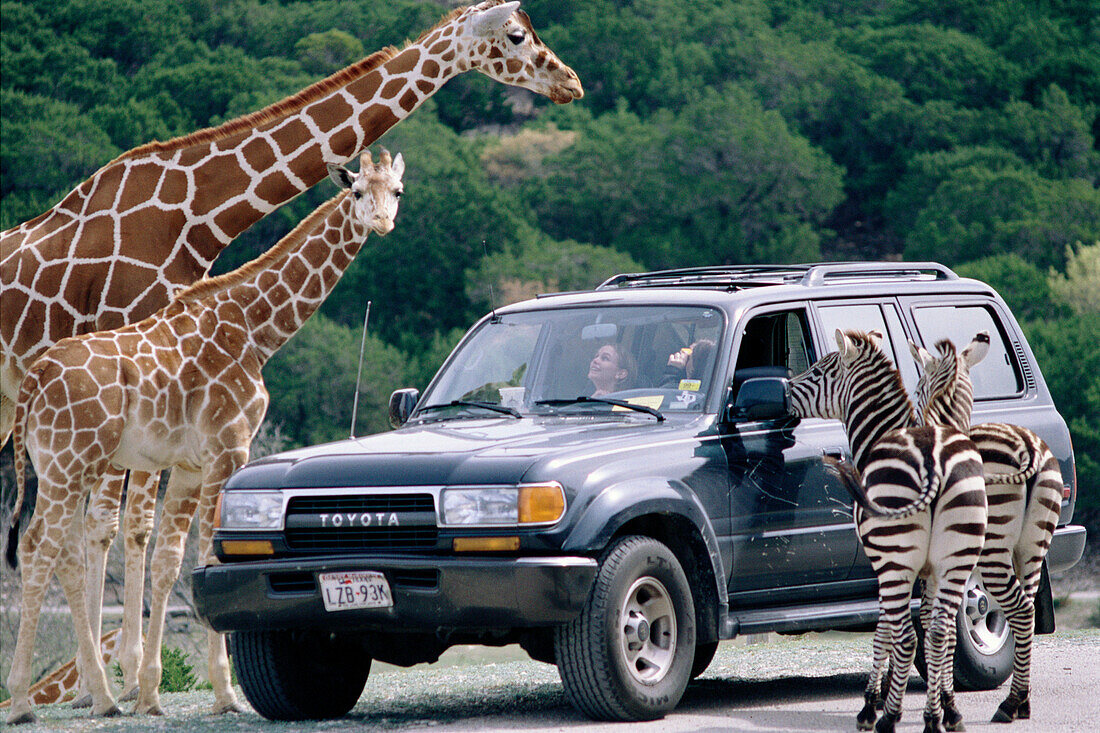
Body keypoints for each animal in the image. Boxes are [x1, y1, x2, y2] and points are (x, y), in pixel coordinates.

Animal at [5, 147, 409, 717]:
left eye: (396, 191)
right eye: (355, 191)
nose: (382, 223)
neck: (257, 329)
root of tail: (35, 378)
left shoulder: (191, 463)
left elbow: (170, 562)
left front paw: (150, 695)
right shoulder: (228, 447)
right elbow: (210, 557)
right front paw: (226, 694)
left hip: (59, 466)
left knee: (55, 548)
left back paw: (101, 697)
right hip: (70, 463)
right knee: (40, 547)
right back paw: (30, 701)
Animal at [787, 330, 985, 730]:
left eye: (816, 371)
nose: (783, 391)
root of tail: (934, 460)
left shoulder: (879, 562)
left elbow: (884, 631)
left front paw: (873, 700)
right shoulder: (928, 571)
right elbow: (931, 629)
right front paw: (942, 703)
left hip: (897, 559)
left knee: (909, 637)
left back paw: (887, 718)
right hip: (958, 559)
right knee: (940, 631)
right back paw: (941, 716)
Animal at [906, 334, 1060, 721]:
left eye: (917, 389)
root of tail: (1029, 448)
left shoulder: (940, 561)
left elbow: (935, 621)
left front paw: (942, 699)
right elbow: (942, 623)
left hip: (993, 550)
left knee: (1020, 610)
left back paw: (1009, 704)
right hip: (1032, 548)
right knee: (1027, 613)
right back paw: (1022, 701)